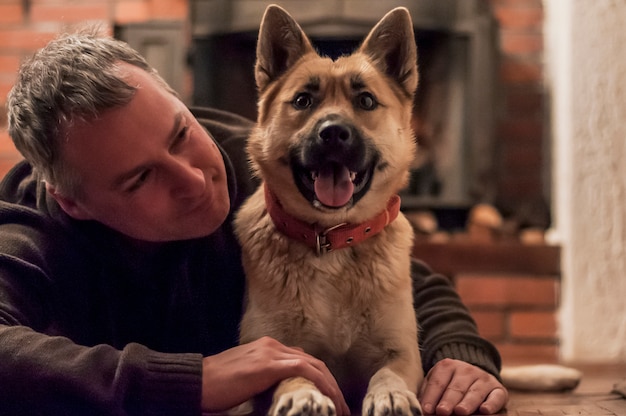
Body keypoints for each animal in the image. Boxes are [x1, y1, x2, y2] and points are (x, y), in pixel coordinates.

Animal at [235, 4, 424, 416]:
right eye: (303, 101)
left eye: (366, 101)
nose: (334, 132)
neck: (332, 238)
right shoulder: (271, 346)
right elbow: (292, 369)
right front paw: (302, 394)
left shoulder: (402, 351)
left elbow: (390, 372)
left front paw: (390, 394)